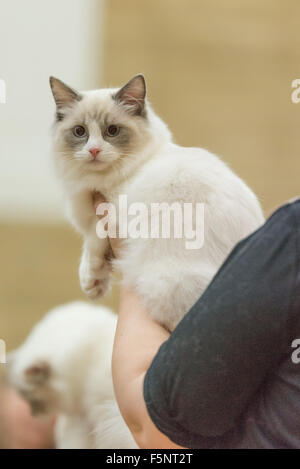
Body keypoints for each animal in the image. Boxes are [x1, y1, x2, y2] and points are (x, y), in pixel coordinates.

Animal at [49, 74, 264, 330]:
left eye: (112, 131)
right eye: (80, 132)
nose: (93, 150)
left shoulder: (108, 214)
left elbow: (92, 243)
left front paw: (91, 281)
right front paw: (95, 285)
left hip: (163, 283)